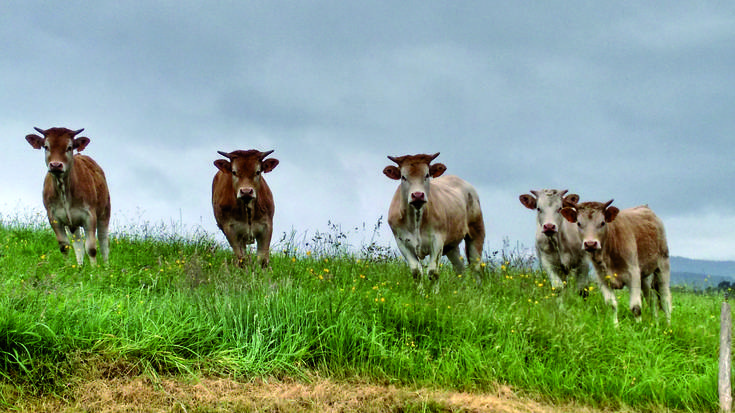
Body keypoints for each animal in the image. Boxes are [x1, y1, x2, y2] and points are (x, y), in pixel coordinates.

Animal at [25, 127, 111, 266]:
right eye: (46, 146)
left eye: (69, 147)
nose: (55, 165)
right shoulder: (53, 217)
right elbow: (64, 246)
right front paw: (67, 268)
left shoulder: (89, 215)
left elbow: (91, 248)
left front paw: (95, 270)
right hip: (73, 224)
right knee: (78, 243)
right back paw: (80, 267)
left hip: (105, 211)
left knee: (104, 241)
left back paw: (106, 267)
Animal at [382, 153, 486, 284]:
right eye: (403, 177)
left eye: (426, 175)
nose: (417, 195)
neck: (416, 221)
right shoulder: (401, 242)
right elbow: (416, 272)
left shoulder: (437, 240)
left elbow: (433, 272)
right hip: (451, 245)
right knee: (460, 269)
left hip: (476, 230)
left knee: (476, 267)